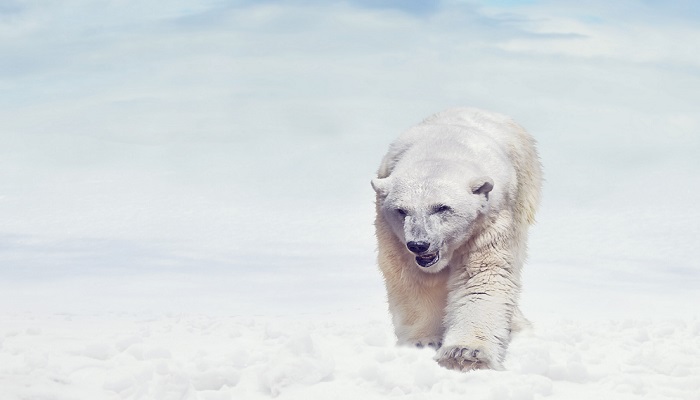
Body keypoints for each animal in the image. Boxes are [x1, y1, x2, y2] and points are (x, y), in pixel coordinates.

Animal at [372, 107, 540, 372]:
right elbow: (415, 280)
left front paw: (466, 354)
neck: (443, 149)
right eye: (401, 210)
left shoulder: (490, 219)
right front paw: (423, 342)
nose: (419, 244)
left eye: (442, 207)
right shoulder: (391, 231)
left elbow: (482, 276)